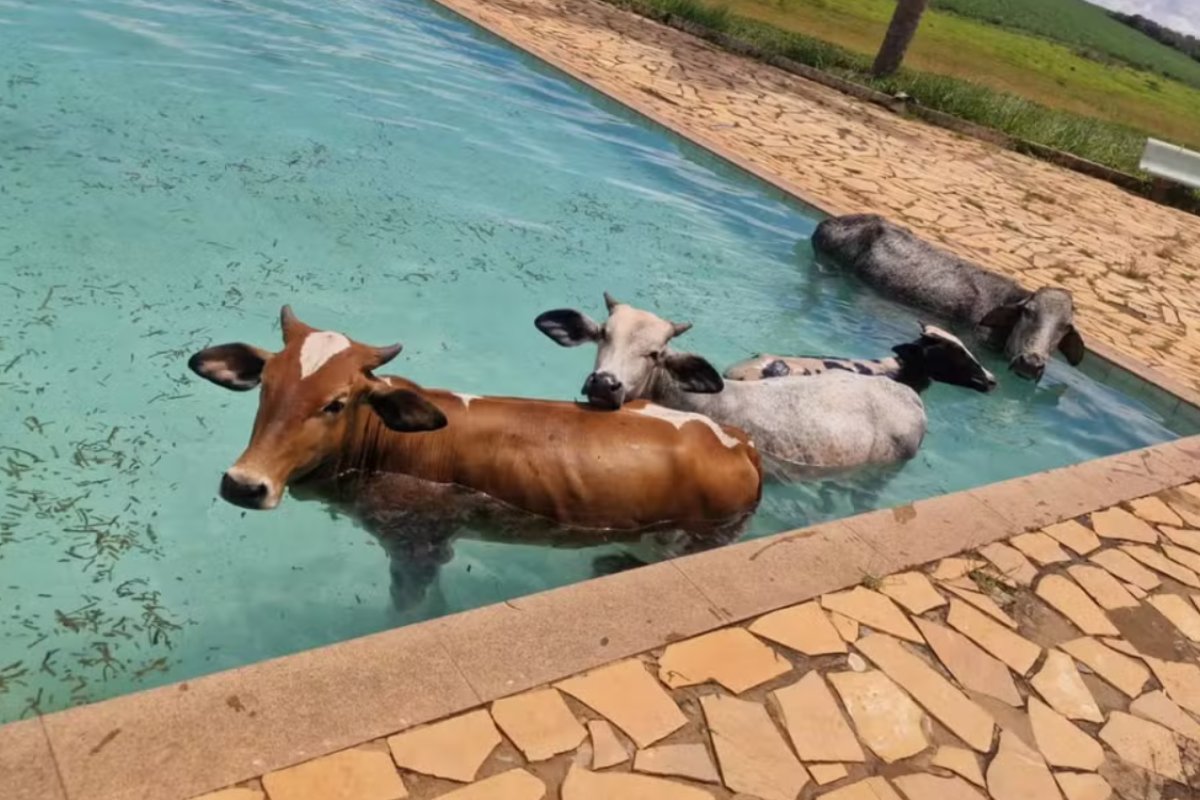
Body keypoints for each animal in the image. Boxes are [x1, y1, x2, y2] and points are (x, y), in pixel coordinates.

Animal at [188, 307, 762, 607]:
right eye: (266, 385)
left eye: (336, 402)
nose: (244, 484)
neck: (387, 440)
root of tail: (737, 440)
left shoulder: (418, 546)